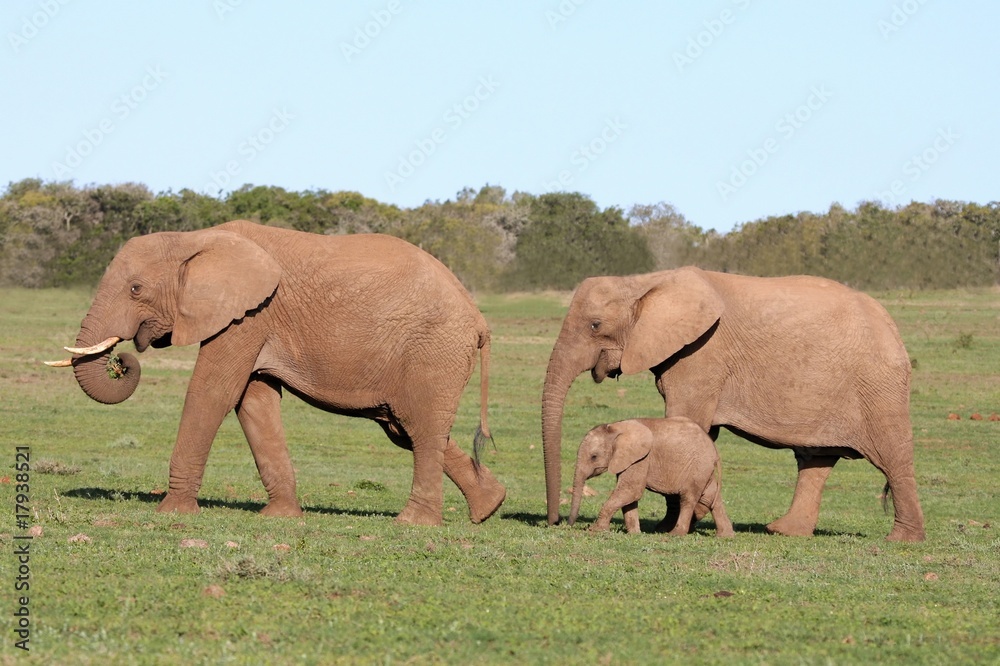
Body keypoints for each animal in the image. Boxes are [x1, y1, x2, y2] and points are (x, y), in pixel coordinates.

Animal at [46, 220, 506, 526]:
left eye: (136, 289)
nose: (122, 360)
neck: (197, 238)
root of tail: (479, 320)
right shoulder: (253, 320)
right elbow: (253, 402)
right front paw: (280, 517)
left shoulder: (248, 316)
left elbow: (213, 393)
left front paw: (172, 512)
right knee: (405, 427)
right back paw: (490, 508)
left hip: (435, 351)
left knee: (421, 428)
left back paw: (413, 525)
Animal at [568, 418, 734, 537]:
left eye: (594, 457)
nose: (569, 524)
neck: (617, 427)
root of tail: (714, 451)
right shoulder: (630, 460)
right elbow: (629, 496)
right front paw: (635, 534)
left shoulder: (642, 458)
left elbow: (631, 490)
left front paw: (595, 530)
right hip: (704, 469)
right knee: (712, 498)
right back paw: (725, 536)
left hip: (698, 466)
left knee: (688, 498)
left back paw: (674, 535)